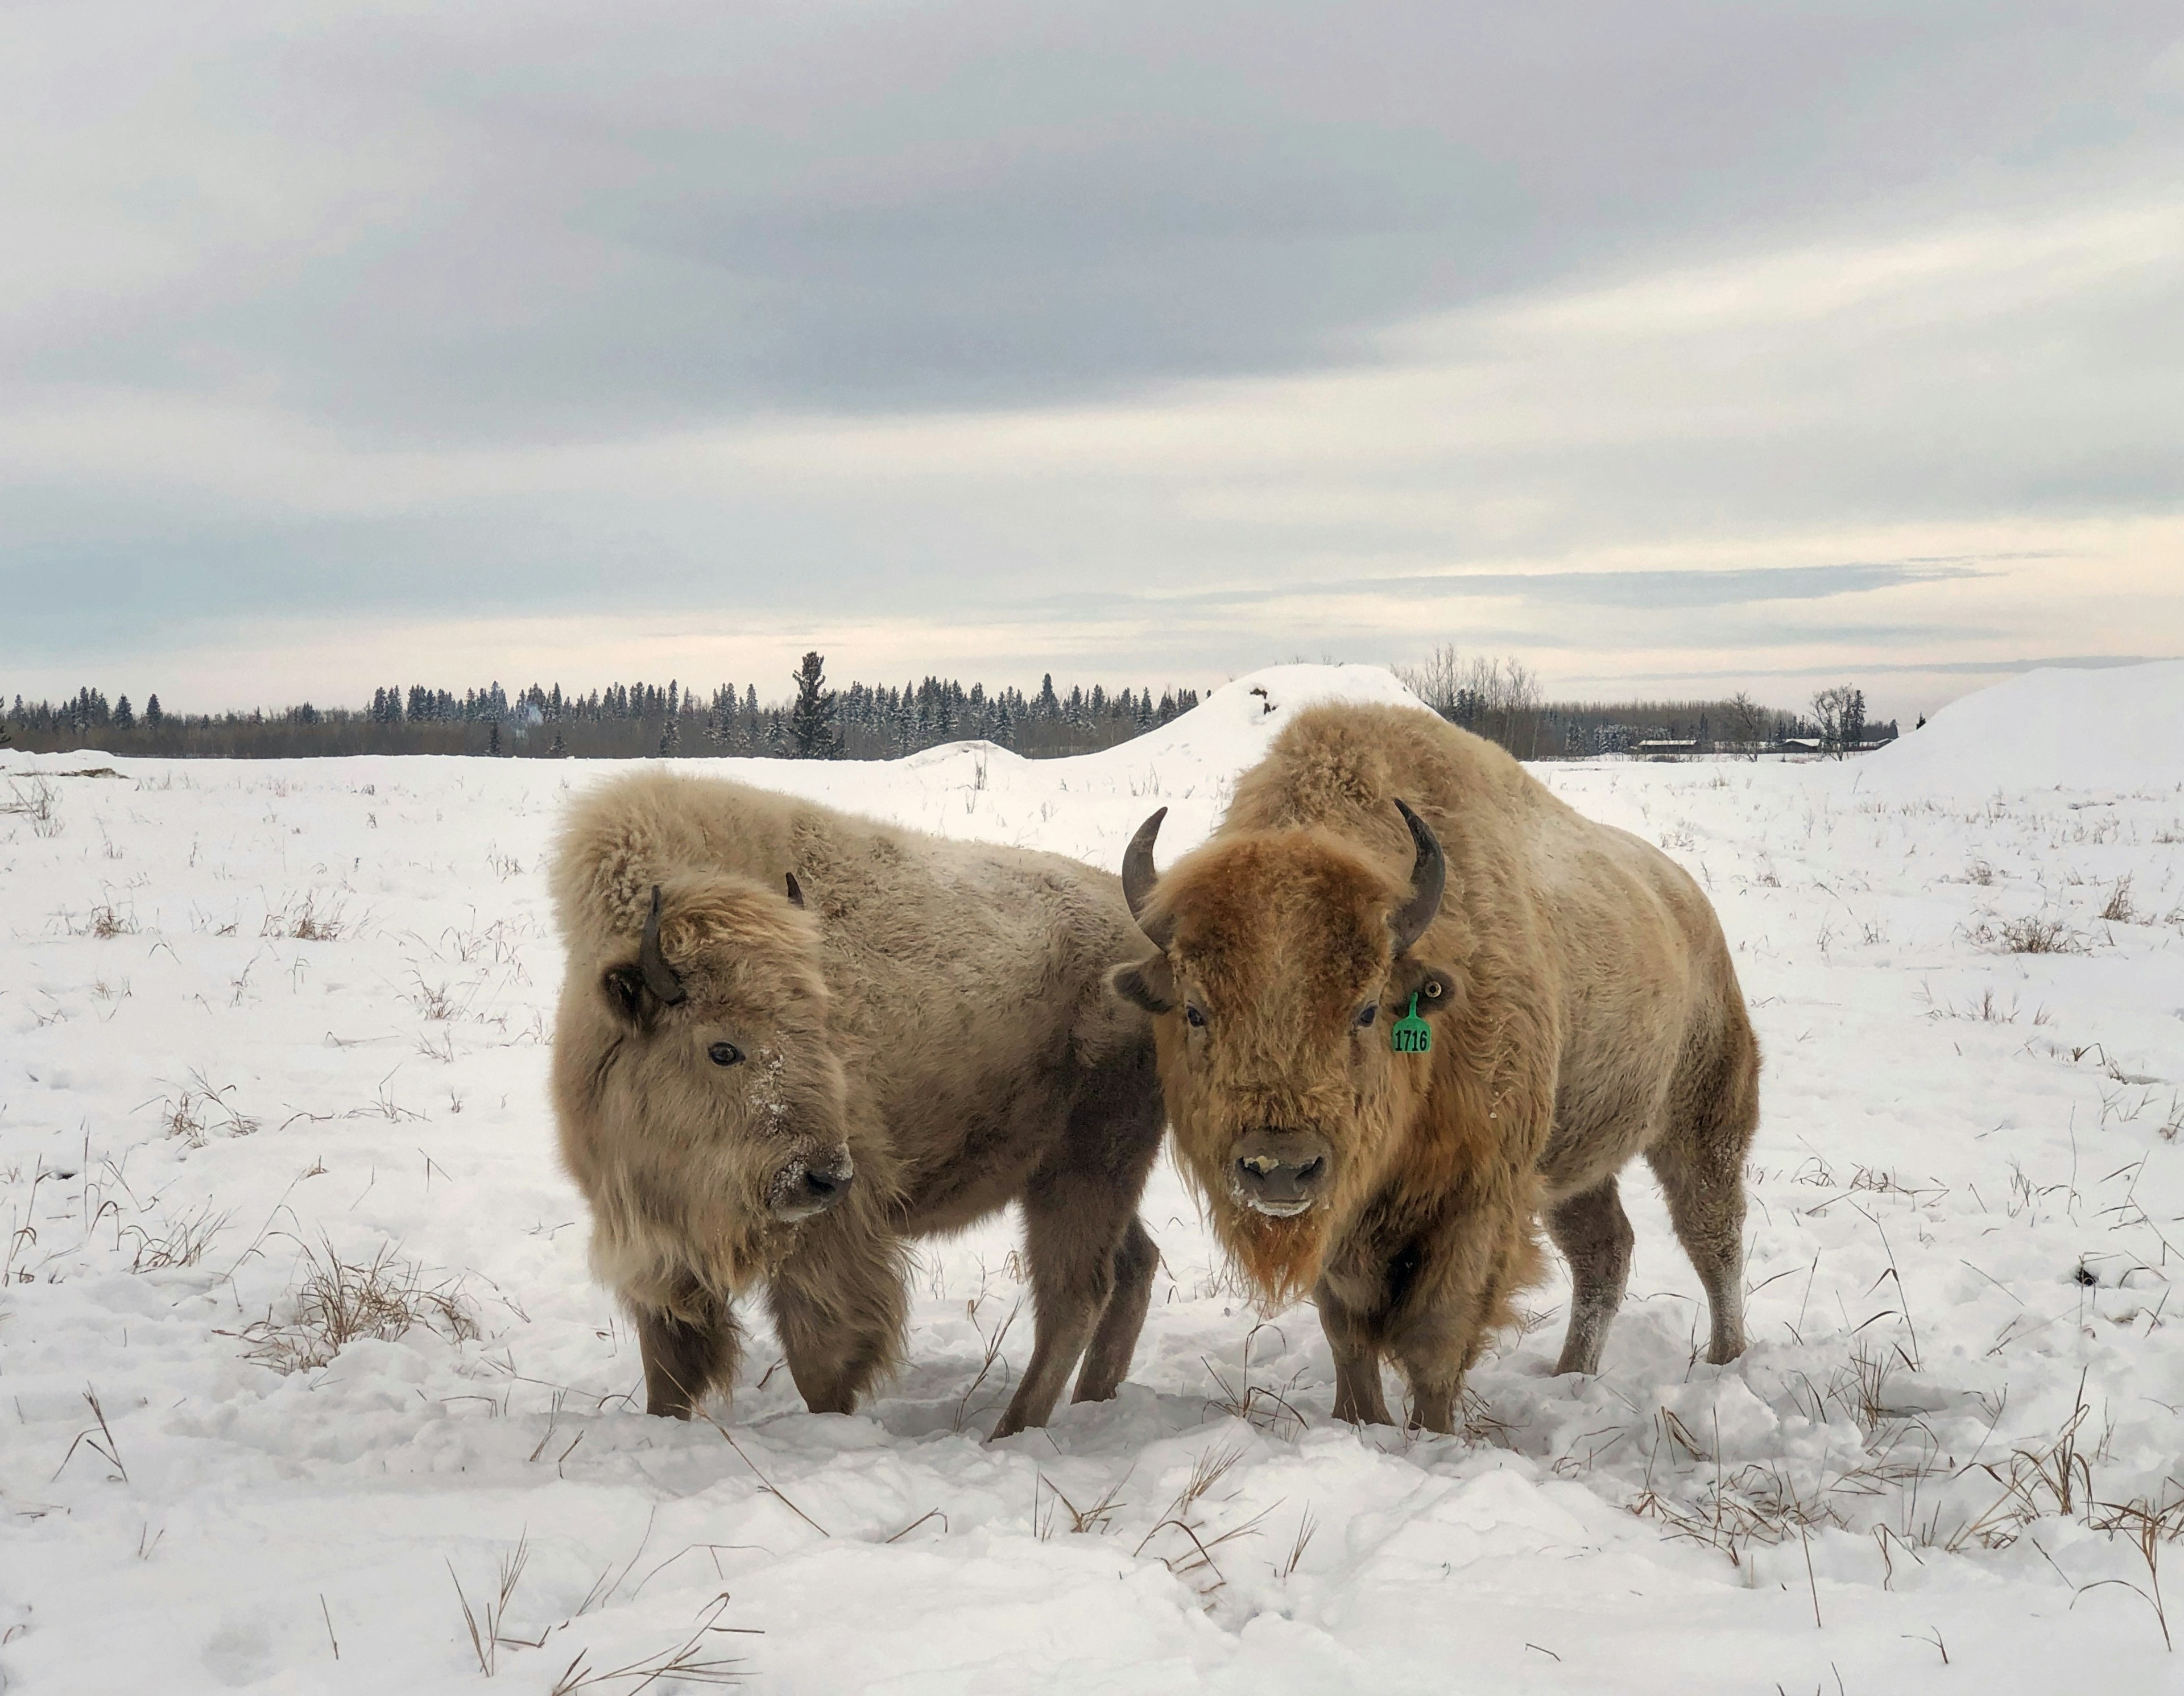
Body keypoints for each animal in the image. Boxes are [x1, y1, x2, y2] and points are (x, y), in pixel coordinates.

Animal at [550, 772, 1161, 1432]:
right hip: (1077, 1177)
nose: (825, 1177)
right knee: (1133, 1268)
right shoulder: (660, 1248)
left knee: (1075, 1294)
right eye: (723, 1049)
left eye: (822, 1025)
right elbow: (668, 1367)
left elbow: (821, 1360)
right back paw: (1093, 1402)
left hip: (1087, 1170)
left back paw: (1009, 1432)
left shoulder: (829, 1245)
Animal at [1109, 702, 1756, 1432]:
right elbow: (1348, 1332)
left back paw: (1727, 1362)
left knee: (1714, 1236)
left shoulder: (1478, 1201)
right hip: (1576, 1162)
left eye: (1367, 1008)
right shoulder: (1347, 1213)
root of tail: (1687, 902)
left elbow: (1436, 1337)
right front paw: (1359, 1420)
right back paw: (1572, 1374)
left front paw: (1431, 1434)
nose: (1279, 1167)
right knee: (1604, 1252)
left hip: (1702, 1121)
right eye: (1194, 1010)